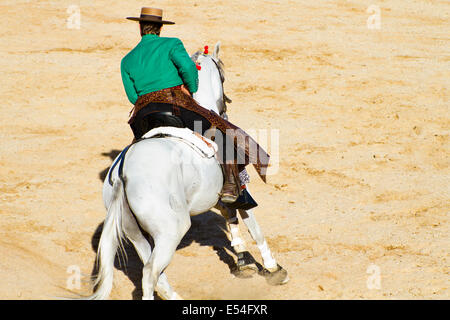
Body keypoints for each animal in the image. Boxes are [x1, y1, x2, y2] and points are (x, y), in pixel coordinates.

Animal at [88, 42, 288, 300]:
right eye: (223, 76)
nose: (225, 107)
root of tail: (123, 173)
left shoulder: (218, 197)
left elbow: (231, 218)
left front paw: (243, 260)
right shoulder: (241, 191)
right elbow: (253, 226)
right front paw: (274, 269)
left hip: (135, 232)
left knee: (154, 271)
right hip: (171, 230)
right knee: (150, 273)